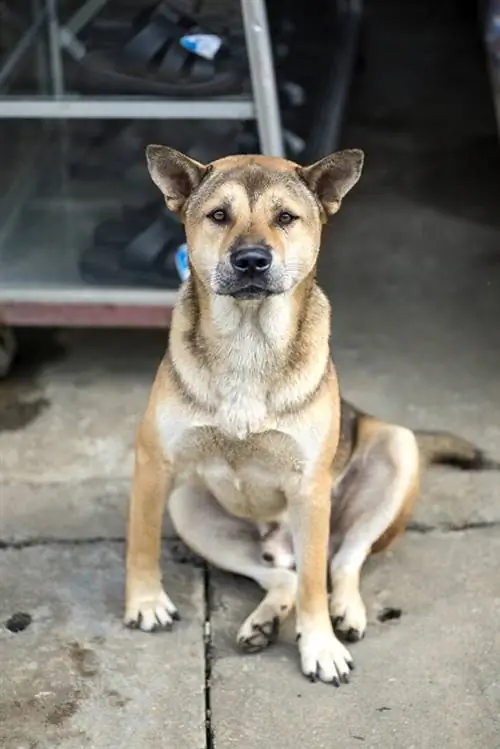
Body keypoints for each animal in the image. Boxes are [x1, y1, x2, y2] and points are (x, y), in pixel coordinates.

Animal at [123, 145, 494, 684]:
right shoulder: (154, 463)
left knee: (340, 562)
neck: (249, 341)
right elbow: (142, 541)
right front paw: (146, 601)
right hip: (189, 505)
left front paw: (319, 645)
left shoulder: (309, 487)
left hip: (394, 450)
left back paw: (346, 611)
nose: (251, 260)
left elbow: (318, 583)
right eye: (219, 215)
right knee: (281, 577)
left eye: (285, 218)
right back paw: (263, 621)